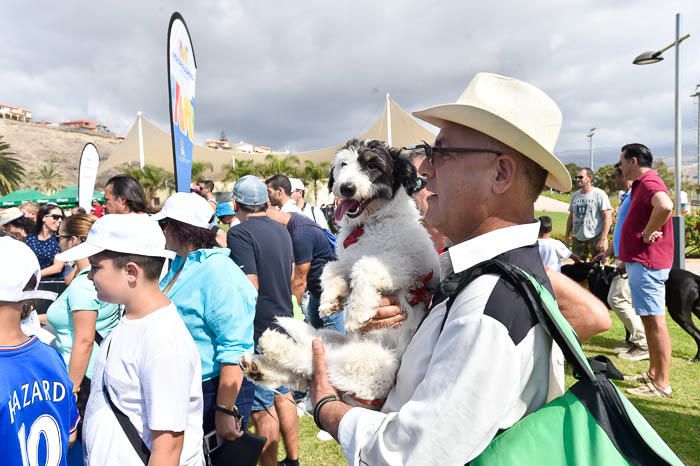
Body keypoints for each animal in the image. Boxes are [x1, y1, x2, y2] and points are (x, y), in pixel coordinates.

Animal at [241, 139, 438, 408]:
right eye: (344, 164)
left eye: (373, 165)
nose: (346, 188)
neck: (368, 226)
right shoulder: (345, 259)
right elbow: (331, 269)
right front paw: (330, 300)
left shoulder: (415, 265)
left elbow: (365, 265)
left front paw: (357, 311)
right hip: (332, 340)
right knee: (305, 367)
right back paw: (258, 368)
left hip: (369, 364)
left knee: (312, 362)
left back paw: (273, 346)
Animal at [560, 262, 700, 360]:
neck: (592, 272)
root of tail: (694, 277)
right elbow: (629, 327)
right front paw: (630, 342)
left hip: (679, 313)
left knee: (697, 334)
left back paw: (696, 359)